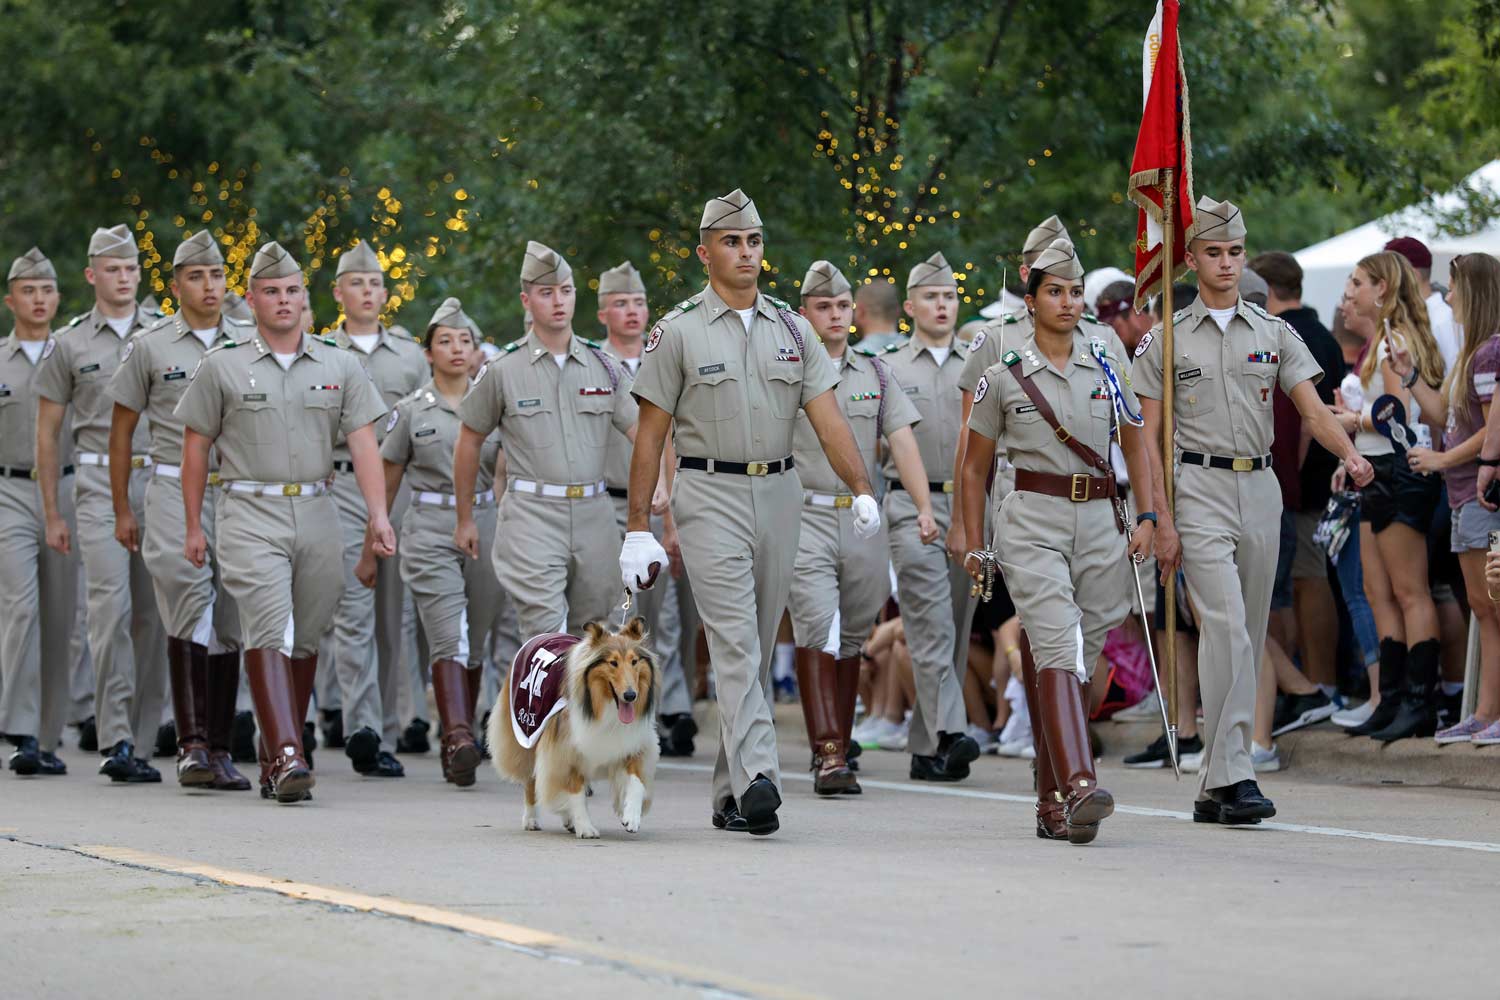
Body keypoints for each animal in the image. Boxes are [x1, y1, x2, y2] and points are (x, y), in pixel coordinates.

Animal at [489, 617, 660, 839]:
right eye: (612, 662)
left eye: (634, 661)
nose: (631, 695)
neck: (603, 707)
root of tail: (544, 635)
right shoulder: (565, 752)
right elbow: (576, 793)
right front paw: (585, 827)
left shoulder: (632, 744)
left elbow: (636, 782)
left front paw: (631, 816)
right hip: (527, 737)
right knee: (531, 782)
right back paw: (531, 819)